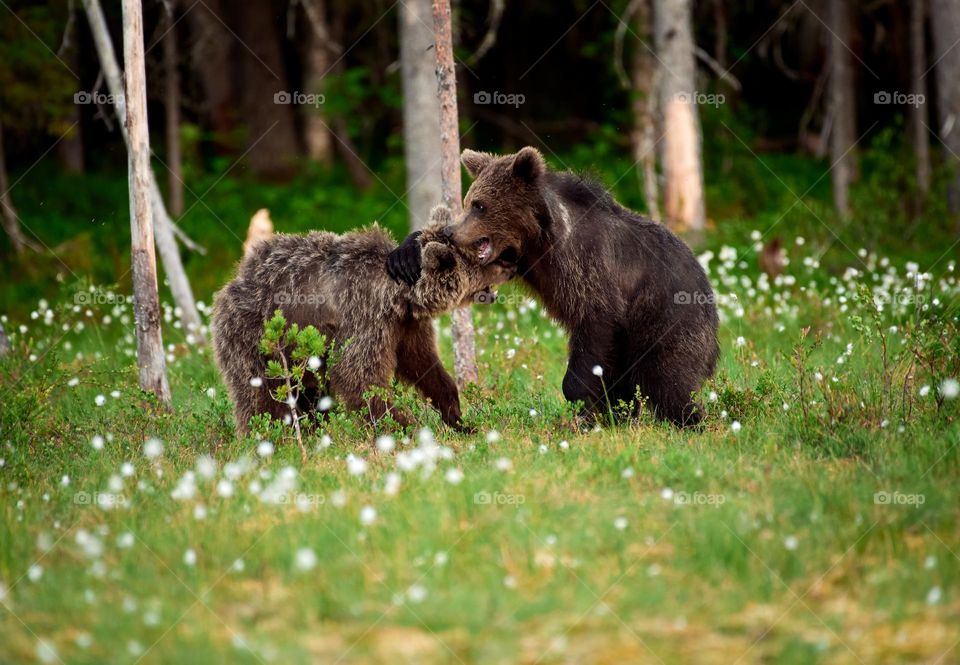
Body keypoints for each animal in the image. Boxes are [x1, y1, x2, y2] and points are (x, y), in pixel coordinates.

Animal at [386, 147, 716, 426]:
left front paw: (581, 407)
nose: (452, 232)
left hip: (666, 319)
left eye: (480, 205)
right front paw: (407, 251)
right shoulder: (525, 259)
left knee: (668, 379)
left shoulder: (593, 274)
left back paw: (689, 419)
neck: (544, 239)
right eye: (469, 202)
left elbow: (593, 330)